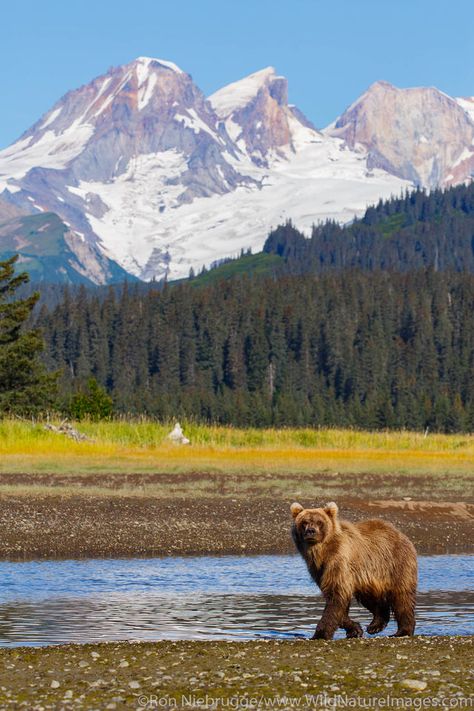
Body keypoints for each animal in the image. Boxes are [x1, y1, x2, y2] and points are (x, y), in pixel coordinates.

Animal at [290, 500, 416, 640]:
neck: (322, 551)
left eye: (319, 522)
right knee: (370, 596)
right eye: (304, 522)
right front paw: (355, 629)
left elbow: (336, 595)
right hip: (368, 576)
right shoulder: (318, 569)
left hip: (395, 563)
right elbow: (336, 599)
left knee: (401, 596)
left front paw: (320, 634)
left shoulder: (338, 561)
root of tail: (399, 533)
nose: (311, 531)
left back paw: (403, 631)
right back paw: (375, 625)